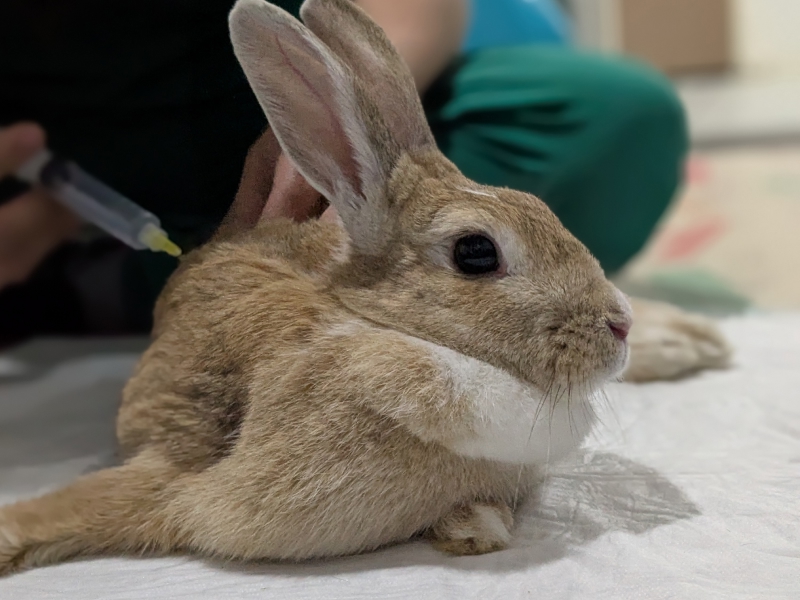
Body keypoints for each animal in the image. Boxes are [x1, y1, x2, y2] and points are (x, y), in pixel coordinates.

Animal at [0, 0, 730, 576]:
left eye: (540, 209)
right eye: (475, 253)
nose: (617, 325)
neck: (387, 324)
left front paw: (475, 524)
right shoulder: (172, 465)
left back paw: (691, 339)